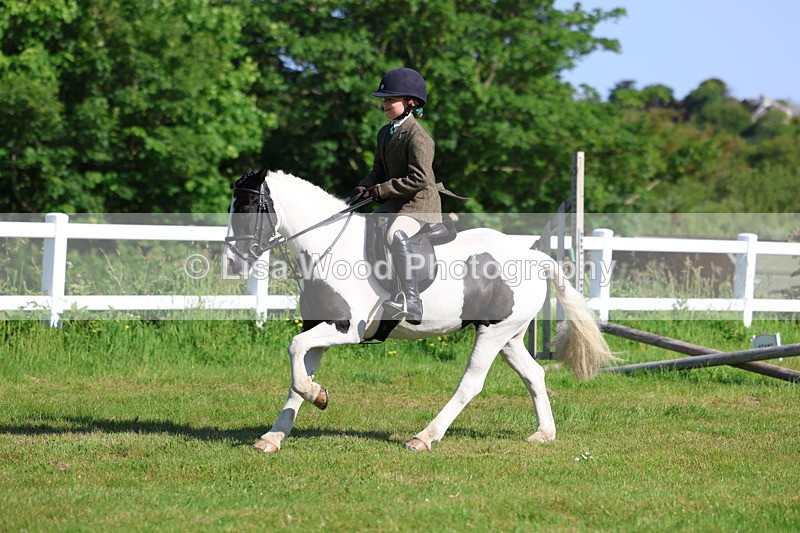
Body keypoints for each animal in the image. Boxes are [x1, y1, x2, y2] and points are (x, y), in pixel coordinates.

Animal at [225, 168, 617, 452]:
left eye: (245, 209)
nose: (232, 262)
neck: (325, 246)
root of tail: (534, 257)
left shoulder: (344, 328)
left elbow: (294, 352)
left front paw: (317, 395)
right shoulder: (319, 328)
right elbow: (297, 375)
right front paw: (275, 434)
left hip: (493, 333)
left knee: (471, 384)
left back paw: (424, 437)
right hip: (509, 335)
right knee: (534, 374)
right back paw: (544, 434)